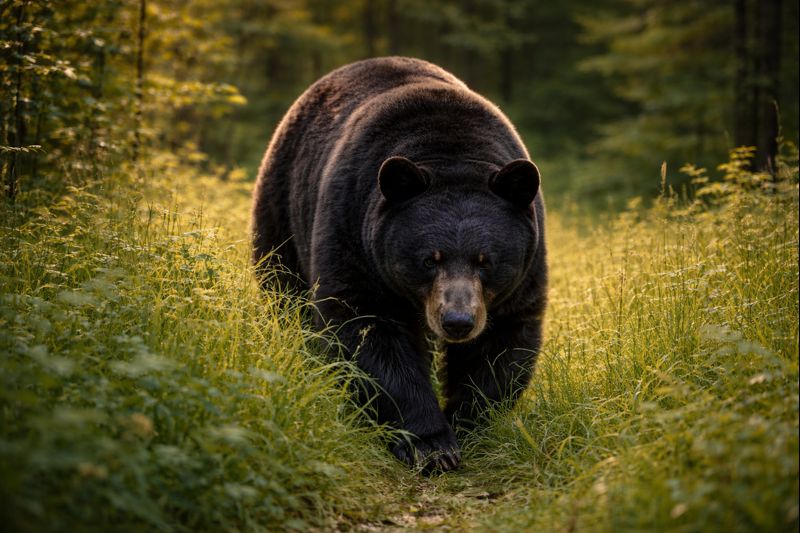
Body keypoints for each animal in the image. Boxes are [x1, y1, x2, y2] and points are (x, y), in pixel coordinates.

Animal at [251, 57, 547, 473]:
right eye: (429, 258)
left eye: (486, 260)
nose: (458, 321)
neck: (452, 151)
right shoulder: (353, 234)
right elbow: (368, 332)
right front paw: (431, 444)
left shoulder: (521, 274)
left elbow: (502, 343)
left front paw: (469, 422)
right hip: (283, 208)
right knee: (284, 291)